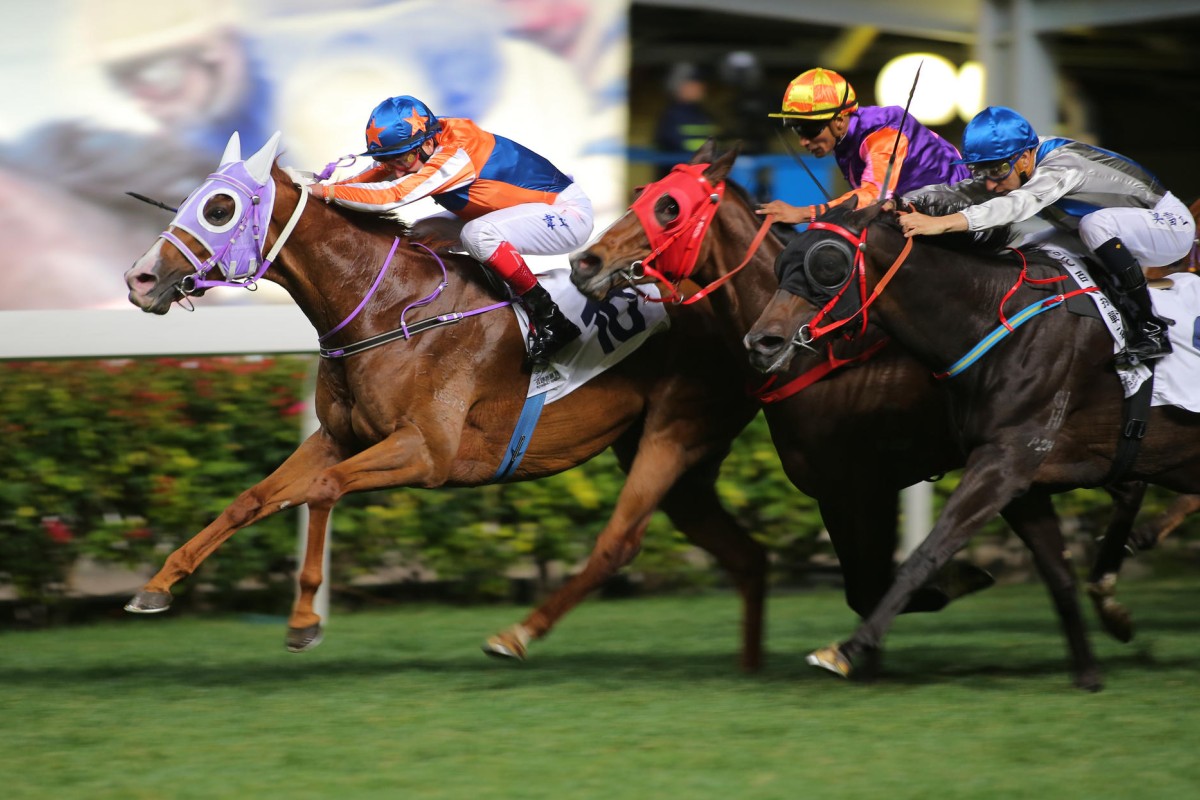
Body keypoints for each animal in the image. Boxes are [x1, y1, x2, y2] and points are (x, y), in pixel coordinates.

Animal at [121, 133, 768, 671]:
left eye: (219, 209)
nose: (140, 279)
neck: (388, 308)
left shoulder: (426, 452)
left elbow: (323, 491)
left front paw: (303, 621)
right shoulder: (338, 438)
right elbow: (250, 499)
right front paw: (157, 585)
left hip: (673, 432)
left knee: (623, 542)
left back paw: (515, 636)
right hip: (679, 466)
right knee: (743, 554)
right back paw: (749, 666)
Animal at [566, 140, 1147, 633]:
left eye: (670, 207)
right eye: (642, 194)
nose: (584, 262)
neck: (825, 352)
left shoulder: (860, 484)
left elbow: (870, 588)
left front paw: (955, 579)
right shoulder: (845, 488)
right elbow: (864, 589)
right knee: (1128, 483)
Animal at [739, 200, 1200, 690]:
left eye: (828, 265)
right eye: (781, 263)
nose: (762, 342)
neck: (996, 320)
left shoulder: (1002, 462)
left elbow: (926, 552)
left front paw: (845, 650)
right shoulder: (1020, 481)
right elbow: (1057, 572)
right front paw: (1089, 672)